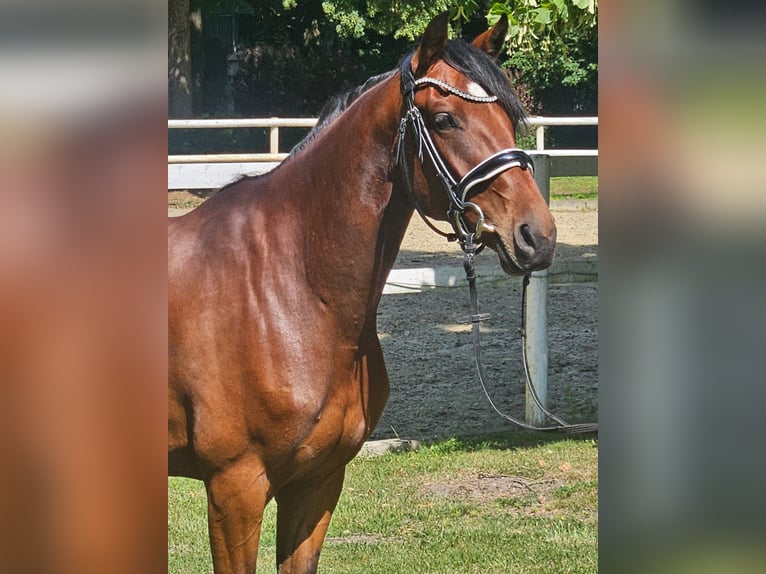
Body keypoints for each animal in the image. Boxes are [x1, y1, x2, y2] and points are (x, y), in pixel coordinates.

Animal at [168, 13, 556, 573]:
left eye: (508, 116)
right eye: (444, 119)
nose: (536, 236)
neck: (288, 289)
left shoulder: (317, 483)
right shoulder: (233, 490)